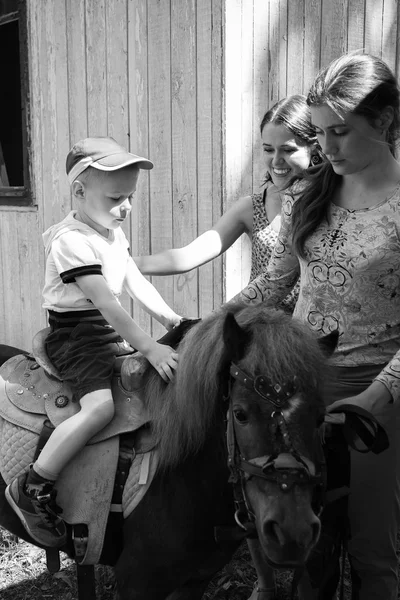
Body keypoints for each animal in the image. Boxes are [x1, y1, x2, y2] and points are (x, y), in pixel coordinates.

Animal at [0, 308, 338, 596]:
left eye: (320, 418)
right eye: (240, 414)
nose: (292, 533)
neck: (184, 476)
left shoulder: (195, 581)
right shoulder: (137, 584)